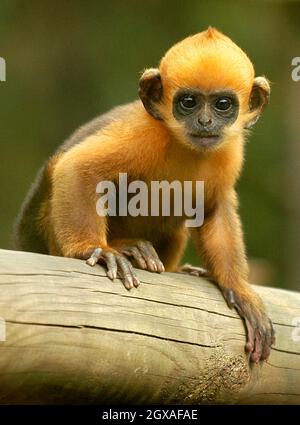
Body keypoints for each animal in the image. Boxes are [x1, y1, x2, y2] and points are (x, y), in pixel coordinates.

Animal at [15, 27, 274, 362]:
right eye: (188, 102)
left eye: (222, 105)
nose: (205, 122)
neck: (185, 146)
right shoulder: (143, 132)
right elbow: (77, 167)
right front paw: (95, 250)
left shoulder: (230, 151)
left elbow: (214, 208)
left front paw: (238, 287)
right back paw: (128, 248)